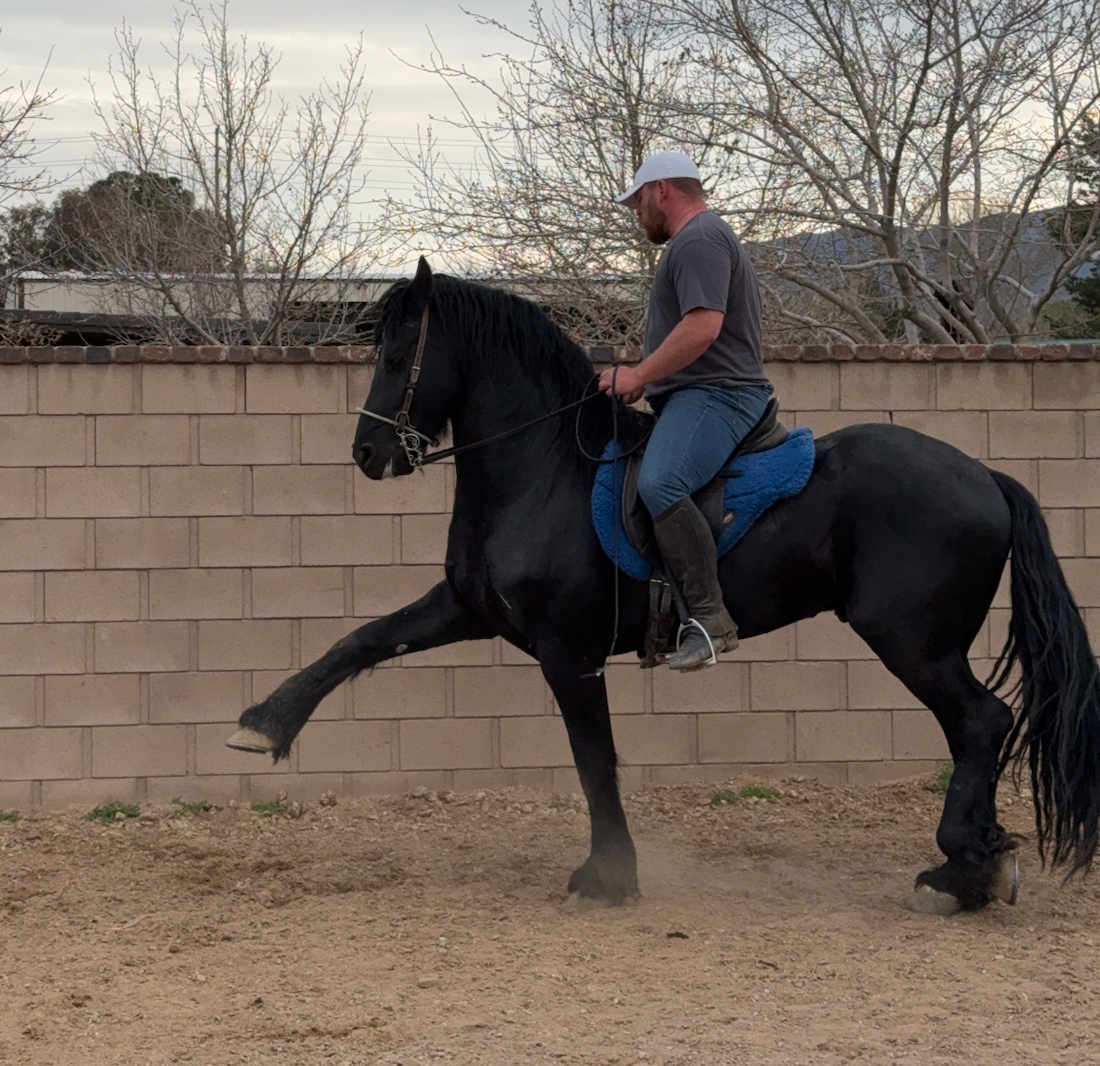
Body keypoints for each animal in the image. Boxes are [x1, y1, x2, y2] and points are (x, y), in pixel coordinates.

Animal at [227, 257, 1100, 915]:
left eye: (394, 355)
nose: (368, 454)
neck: (542, 469)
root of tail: (986, 476)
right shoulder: (468, 608)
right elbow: (361, 640)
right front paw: (265, 725)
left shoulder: (567, 651)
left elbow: (594, 759)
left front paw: (608, 876)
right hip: (924, 645)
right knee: (975, 730)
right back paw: (975, 868)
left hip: (913, 642)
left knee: (982, 723)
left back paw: (960, 871)